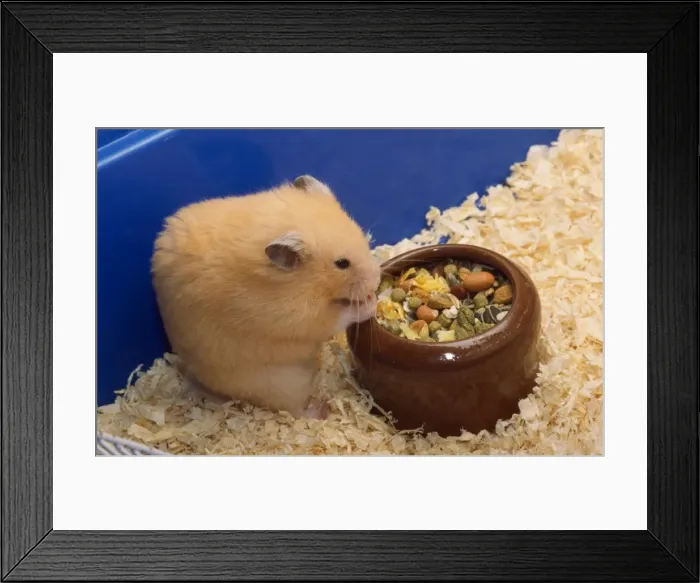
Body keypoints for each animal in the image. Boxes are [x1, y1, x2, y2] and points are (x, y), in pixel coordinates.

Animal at [151, 175, 381, 420]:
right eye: (342, 263)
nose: (376, 280)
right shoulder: (296, 317)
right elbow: (338, 316)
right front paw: (370, 303)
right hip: (283, 384)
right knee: (295, 410)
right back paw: (323, 408)